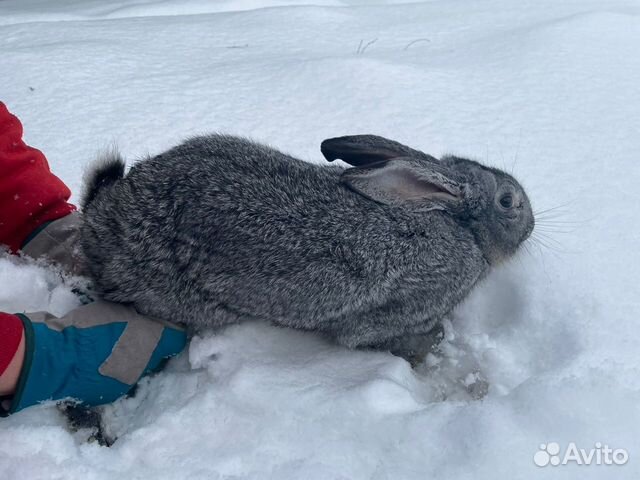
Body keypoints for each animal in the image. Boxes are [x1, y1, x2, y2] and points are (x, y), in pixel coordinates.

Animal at [79, 133, 536, 362]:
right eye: (508, 201)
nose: (532, 224)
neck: (460, 223)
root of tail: (102, 221)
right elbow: (365, 336)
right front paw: (430, 341)